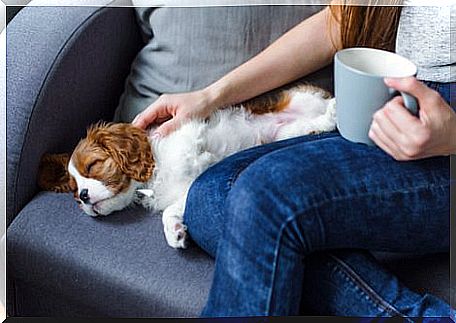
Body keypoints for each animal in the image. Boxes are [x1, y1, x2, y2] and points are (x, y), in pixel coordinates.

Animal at [38, 85, 334, 249]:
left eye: (93, 166)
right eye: (75, 194)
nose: (84, 197)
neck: (150, 180)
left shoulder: (185, 129)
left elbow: (193, 146)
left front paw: (199, 156)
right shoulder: (184, 192)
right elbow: (173, 208)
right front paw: (175, 232)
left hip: (302, 98)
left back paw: (334, 109)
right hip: (287, 133)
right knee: (313, 125)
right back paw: (323, 121)